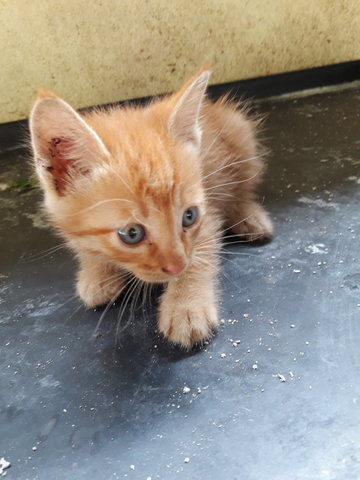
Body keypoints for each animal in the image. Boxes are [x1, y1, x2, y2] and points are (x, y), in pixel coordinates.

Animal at [29, 67, 272, 346]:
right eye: (131, 234)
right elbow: (85, 246)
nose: (177, 265)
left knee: (243, 188)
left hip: (241, 136)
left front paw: (186, 306)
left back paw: (249, 217)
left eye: (189, 216)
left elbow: (201, 255)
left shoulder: (208, 216)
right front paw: (96, 272)